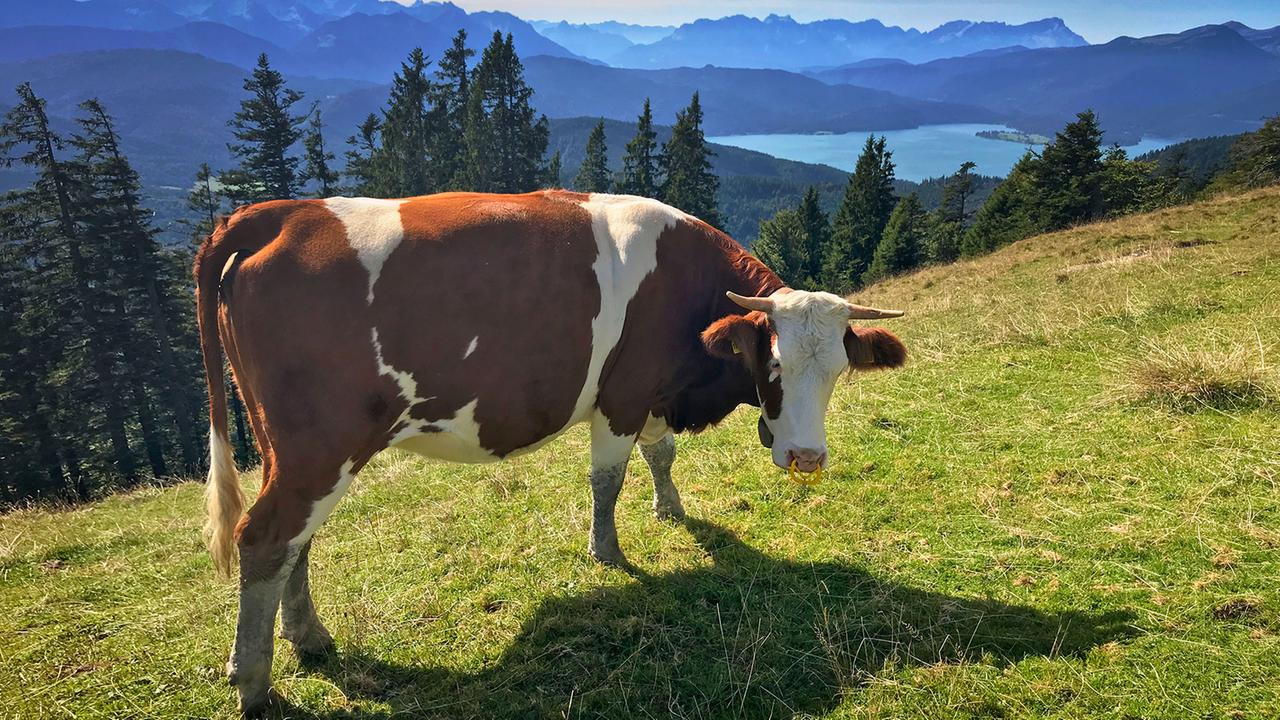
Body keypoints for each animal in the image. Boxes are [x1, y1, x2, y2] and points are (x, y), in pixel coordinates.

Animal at [194, 188, 906, 707]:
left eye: (839, 369)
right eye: (774, 366)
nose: (808, 458)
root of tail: (280, 213)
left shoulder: (654, 394)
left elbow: (661, 456)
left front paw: (671, 510)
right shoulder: (625, 393)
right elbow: (608, 478)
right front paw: (608, 551)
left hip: (293, 451)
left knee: (297, 540)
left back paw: (308, 637)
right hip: (319, 447)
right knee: (266, 537)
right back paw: (254, 684)